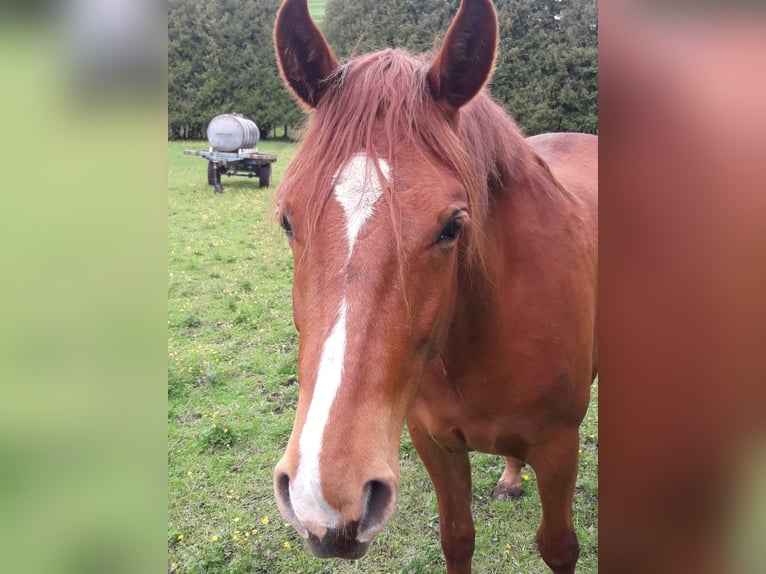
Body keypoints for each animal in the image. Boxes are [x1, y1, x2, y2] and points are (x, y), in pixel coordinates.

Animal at [271, 1, 598, 572]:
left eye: (452, 226)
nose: (328, 499)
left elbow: (559, 546)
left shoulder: (560, 448)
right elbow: (457, 537)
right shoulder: (434, 444)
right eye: (288, 220)